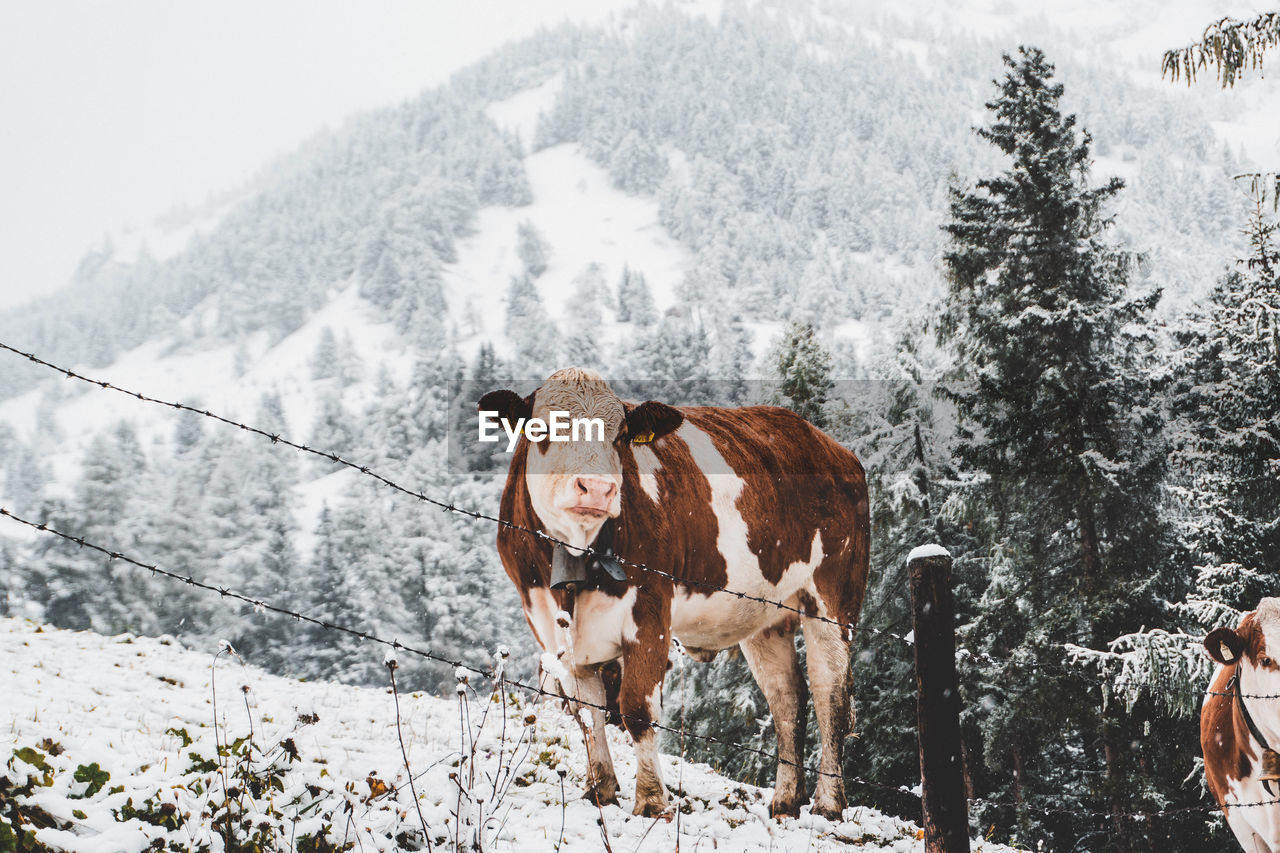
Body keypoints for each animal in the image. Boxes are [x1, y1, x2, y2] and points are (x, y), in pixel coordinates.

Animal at [481, 366, 870, 819]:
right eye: (542, 428)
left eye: (620, 435)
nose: (595, 488)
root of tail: (827, 444)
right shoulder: (549, 623)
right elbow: (586, 712)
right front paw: (601, 790)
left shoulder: (650, 611)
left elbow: (637, 709)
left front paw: (651, 801)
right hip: (766, 616)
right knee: (787, 697)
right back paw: (787, 799)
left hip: (833, 599)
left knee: (830, 696)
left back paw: (828, 802)